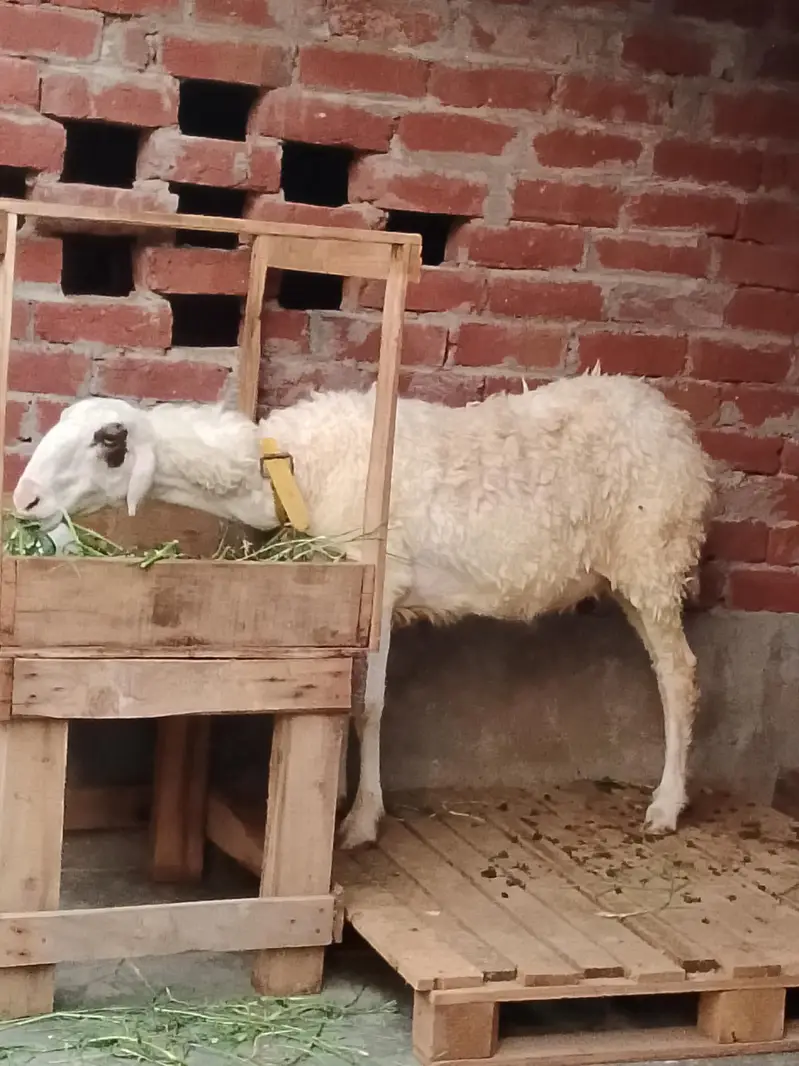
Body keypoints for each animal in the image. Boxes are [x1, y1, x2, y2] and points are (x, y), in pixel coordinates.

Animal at [12, 370, 715, 851]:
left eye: (107, 445)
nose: (24, 502)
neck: (295, 467)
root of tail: (676, 424)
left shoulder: (377, 583)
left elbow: (368, 707)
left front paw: (359, 820)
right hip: (630, 574)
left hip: (653, 557)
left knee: (679, 676)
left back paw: (665, 806)